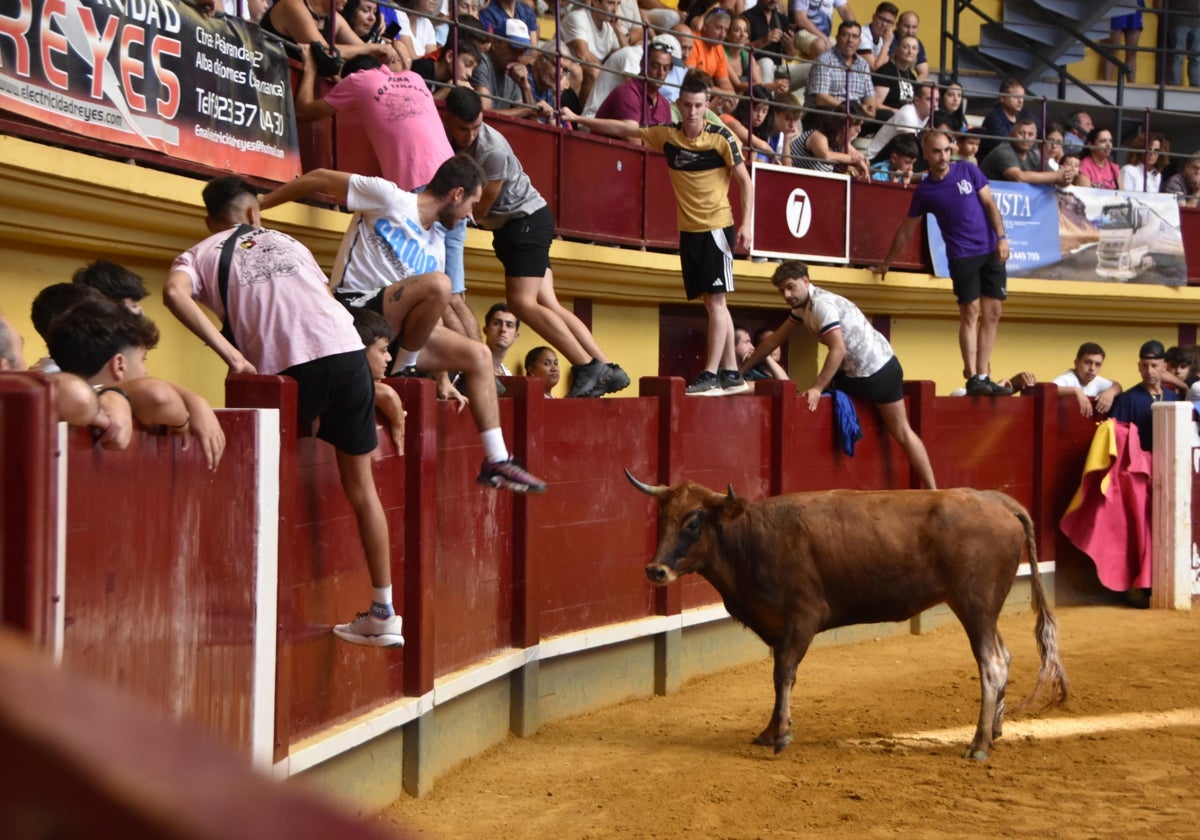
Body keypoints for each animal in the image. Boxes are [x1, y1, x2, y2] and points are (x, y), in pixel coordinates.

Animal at [628, 472, 1070, 763]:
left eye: (693, 521)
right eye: (663, 518)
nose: (655, 570)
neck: (751, 537)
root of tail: (998, 501)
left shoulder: (802, 619)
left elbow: (784, 673)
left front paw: (781, 736)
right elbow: (779, 677)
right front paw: (770, 730)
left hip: (975, 606)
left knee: (991, 663)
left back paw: (977, 744)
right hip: (986, 611)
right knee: (1005, 656)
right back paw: (994, 732)